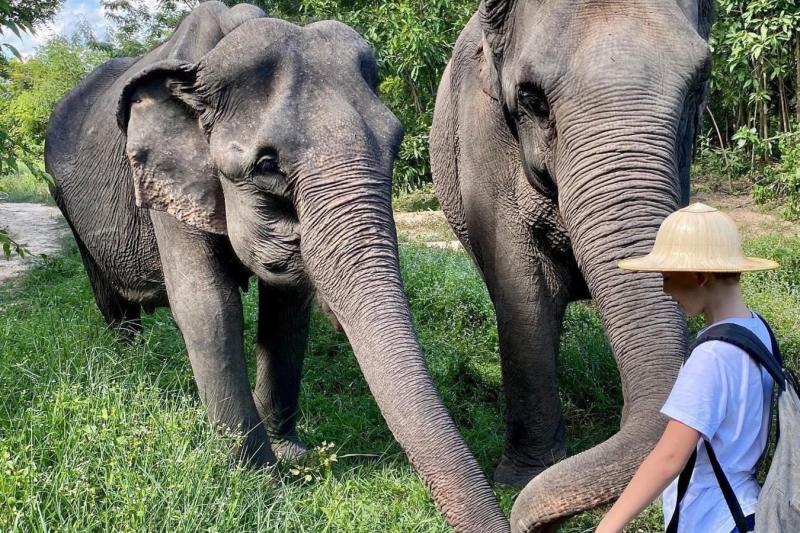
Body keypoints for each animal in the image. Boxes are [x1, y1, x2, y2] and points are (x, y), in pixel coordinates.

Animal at [45, 3, 509, 532]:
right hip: (65, 203)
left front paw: (293, 457)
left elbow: (287, 306)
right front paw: (262, 484)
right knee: (110, 301)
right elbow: (208, 309)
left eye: (394, 146)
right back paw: (132, 368)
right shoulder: (165, 180)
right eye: (266, 166)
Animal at [430, 0, 713, 530]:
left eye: (699, 86)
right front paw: (519, 479)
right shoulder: (483, 137)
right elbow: (523, 291)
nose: (526, 521)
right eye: (532, 99)